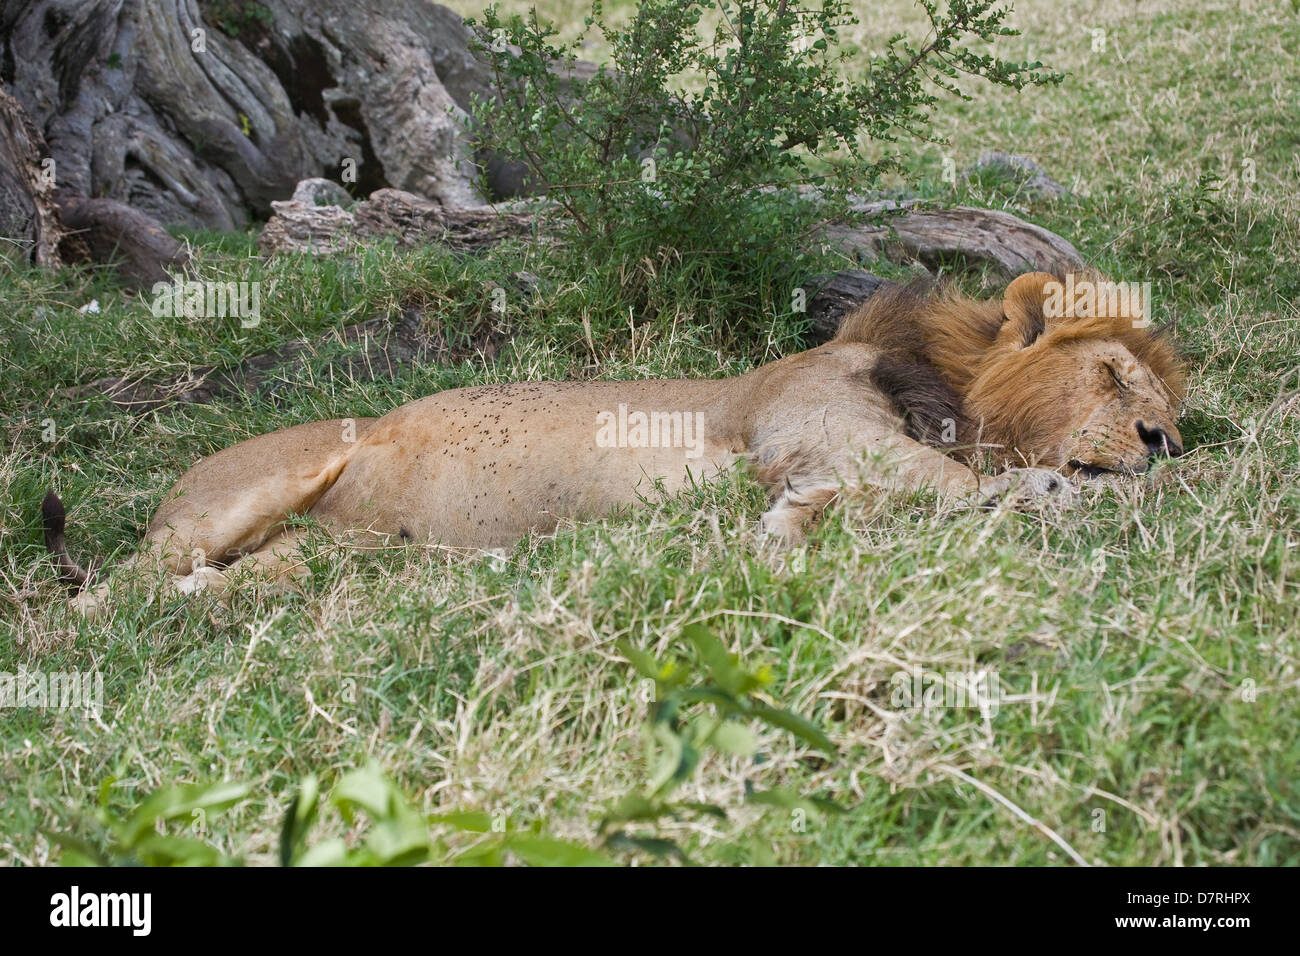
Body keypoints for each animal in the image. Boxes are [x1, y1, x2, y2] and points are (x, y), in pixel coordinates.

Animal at [44, 270, 1185, 611]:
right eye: (1113, 374)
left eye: (1171, 401)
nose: (1166, 442)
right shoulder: (821, 429)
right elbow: (956, 485)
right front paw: (1063, 496)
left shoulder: (820, 463)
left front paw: (785, 535)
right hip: (260, 480)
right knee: (110, 593)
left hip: (319, 555)